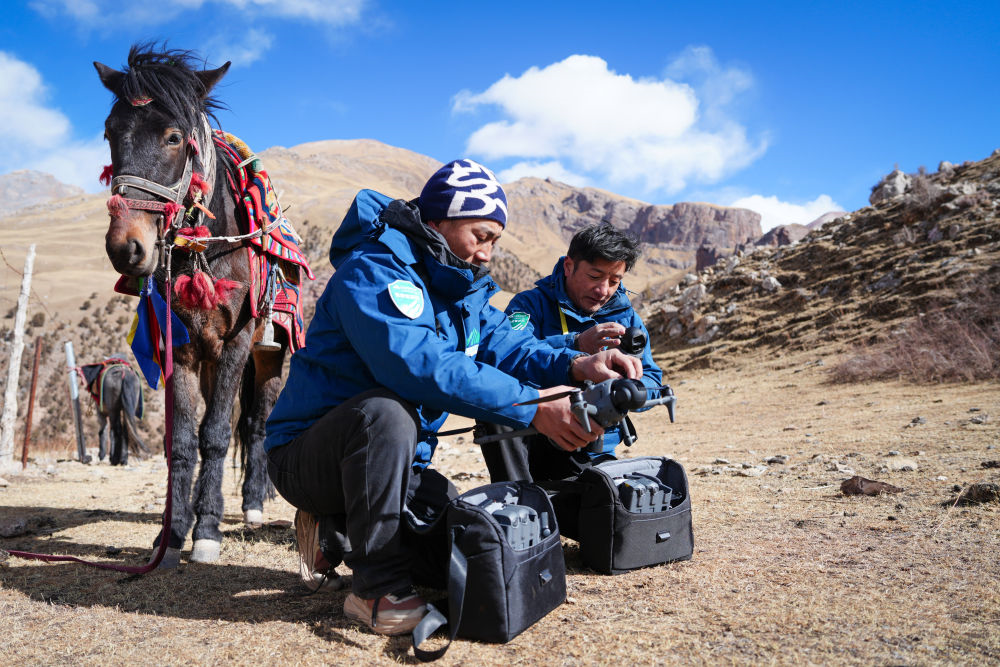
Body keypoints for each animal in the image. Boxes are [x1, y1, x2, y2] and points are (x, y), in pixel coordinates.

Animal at [94, 45, 312, 567]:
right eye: (110, 133)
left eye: (174, 137)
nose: (126, 248)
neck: (204, 249)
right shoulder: (182, 348)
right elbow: (181, 441)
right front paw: (173, 533)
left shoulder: (236, 343)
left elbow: (214, 434)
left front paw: (207, 530)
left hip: (270, 355)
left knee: (255, 424)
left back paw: (251, 506)